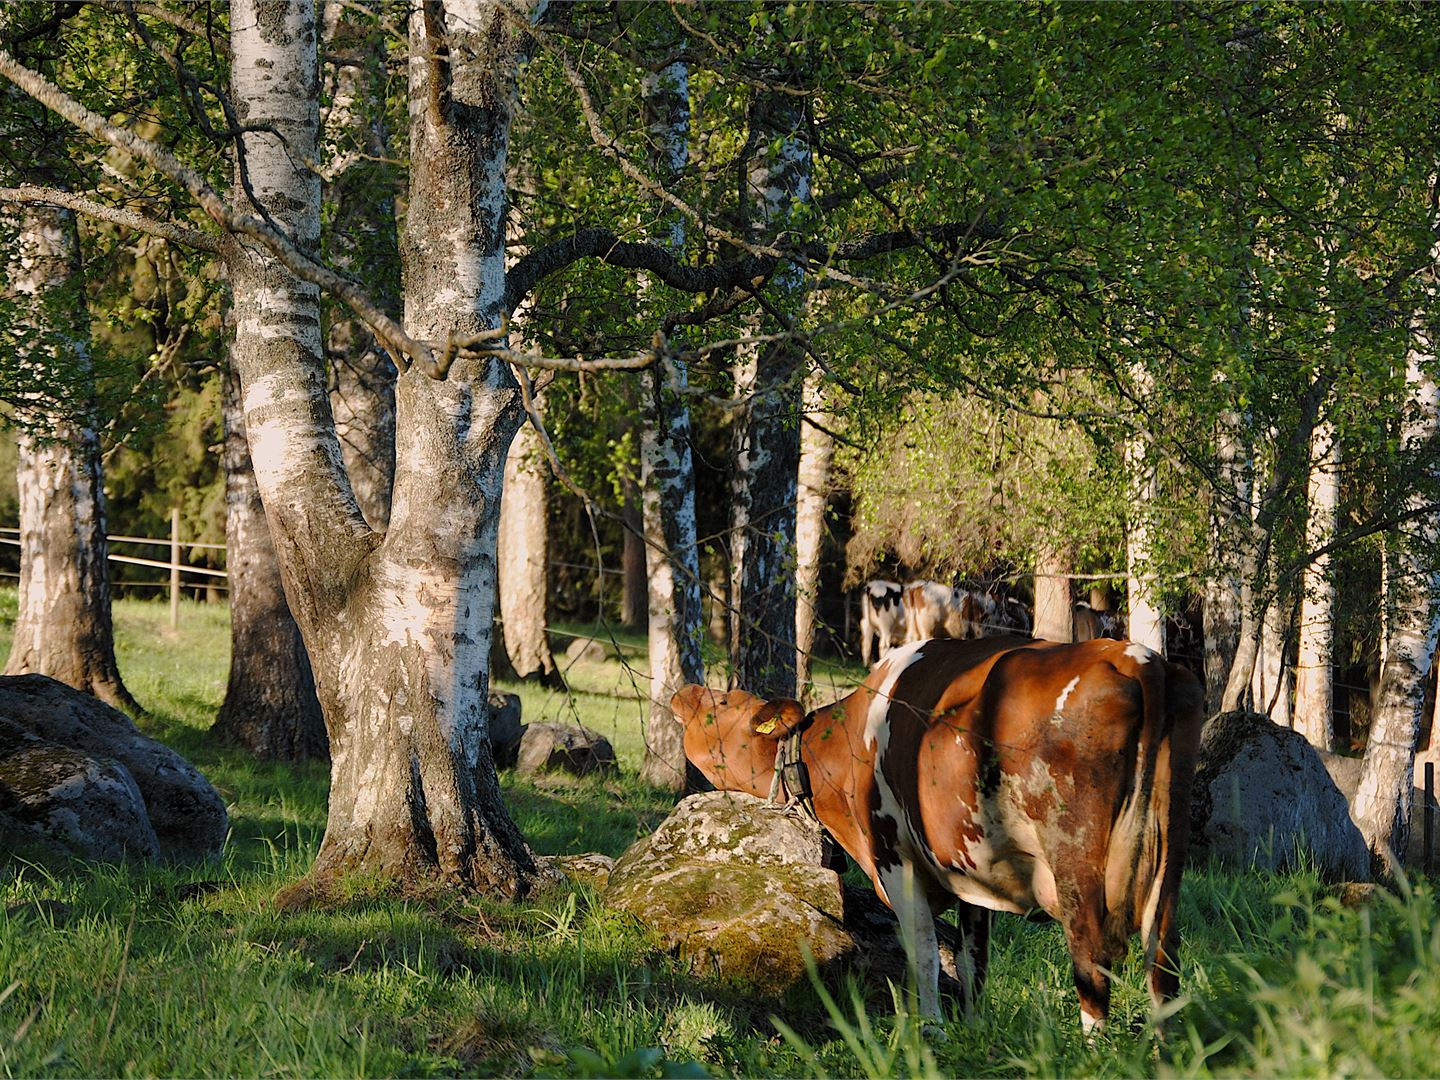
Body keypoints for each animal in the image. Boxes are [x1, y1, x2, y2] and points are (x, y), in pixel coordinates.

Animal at [673, 639, 1203, 1036]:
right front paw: (973, 1033)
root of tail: (1135, 657)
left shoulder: (894, 855)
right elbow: (973, 962)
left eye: (724, 702)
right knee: (1163, 963)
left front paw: (932, 1032)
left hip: (1075, 859)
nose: (686, 690)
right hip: (1168, 859)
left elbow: (924, 952)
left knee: (1092, 961)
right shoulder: (973, 869)